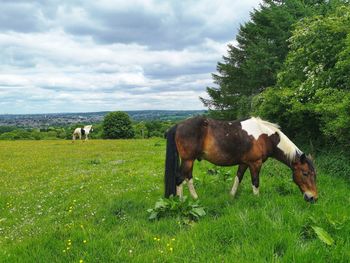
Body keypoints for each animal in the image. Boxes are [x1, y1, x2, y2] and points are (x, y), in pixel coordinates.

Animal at [164, 117, 318, 204]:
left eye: (314, 175)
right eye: (305, 173)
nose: (313, 198)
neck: (265, 137)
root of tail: (178, 125)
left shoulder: (244, 163)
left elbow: (238, 178)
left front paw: (231, 197)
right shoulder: (255, 163)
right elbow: (255, 182)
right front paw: (257, 200)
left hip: (189, 161)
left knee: (188, 177)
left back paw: (195, 198)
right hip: (188, 160)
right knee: (179, 178)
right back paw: (181, 202)